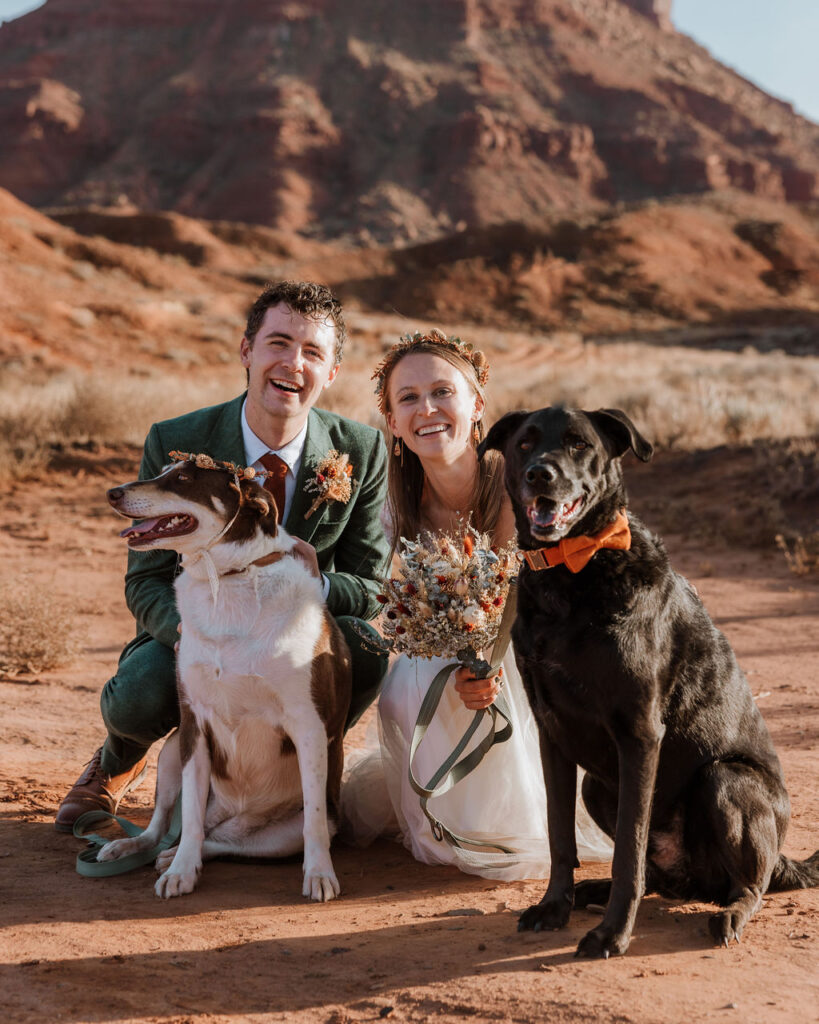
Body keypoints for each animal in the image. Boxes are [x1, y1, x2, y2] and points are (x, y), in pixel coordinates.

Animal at [96, 460, 352, 901]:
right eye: (163, 469)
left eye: (184, 478)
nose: (113, 492)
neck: (229, 576)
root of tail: (233, 816)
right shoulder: (195, 722)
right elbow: (189, 820)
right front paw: (181, 872)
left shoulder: (309, 726)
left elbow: (315, 823)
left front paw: (320, 874)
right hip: (170, 755)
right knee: (170, 827)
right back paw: (138, 848)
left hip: (277, 835)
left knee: (223, 842)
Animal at [479, 403, 818, 954]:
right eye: (525, 443)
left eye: (579, 444)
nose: (539, 475)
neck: (574, 571)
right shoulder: (552, 733)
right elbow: (559, 835)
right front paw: (555, 907)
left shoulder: (639, 734)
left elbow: (628, 850)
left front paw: (613, 933)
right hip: (597, 786)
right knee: (658, 875)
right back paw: (590, 893)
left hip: (726, 781)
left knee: (750, 885)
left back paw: (728, 915)